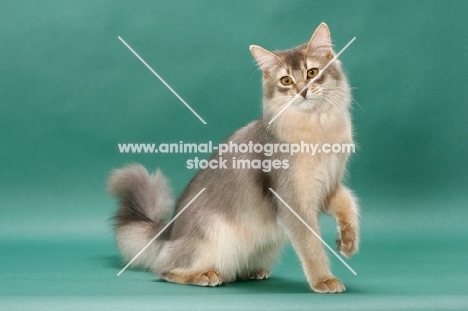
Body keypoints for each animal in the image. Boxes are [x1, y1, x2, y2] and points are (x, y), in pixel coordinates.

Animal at [109, 22, 358, 294]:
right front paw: (323, 279)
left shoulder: (328, 185)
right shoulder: (293, 199)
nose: (302, 91)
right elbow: (311, 245)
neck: (318, 128)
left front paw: (348, 240)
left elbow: (349, 202)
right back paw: (204, 274)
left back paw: (252, 272)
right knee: (164, 269)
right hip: (211, 233)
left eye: (312, 72)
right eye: (286, 80)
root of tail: (168, 233)